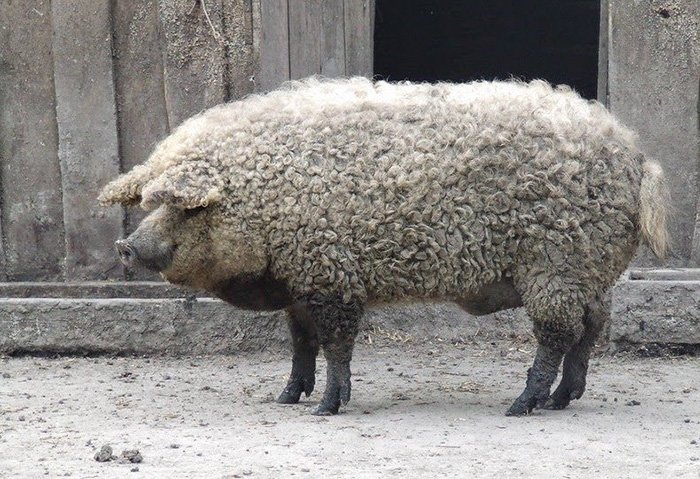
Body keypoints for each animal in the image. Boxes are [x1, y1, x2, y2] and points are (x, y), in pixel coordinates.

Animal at [101, 77, 668, 414]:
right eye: (150, 203)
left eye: (186, 208)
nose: (126, 244)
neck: (266, 203)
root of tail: (637, 157)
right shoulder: (301, 281)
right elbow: (300, 342)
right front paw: (285, 398)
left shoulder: (332, 273)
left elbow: (336, 342)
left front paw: (326, 408)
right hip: (587, 271)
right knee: (591, 328)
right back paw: (559, 401)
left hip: (557, 264)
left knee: (558, 333)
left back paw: (521, 404)